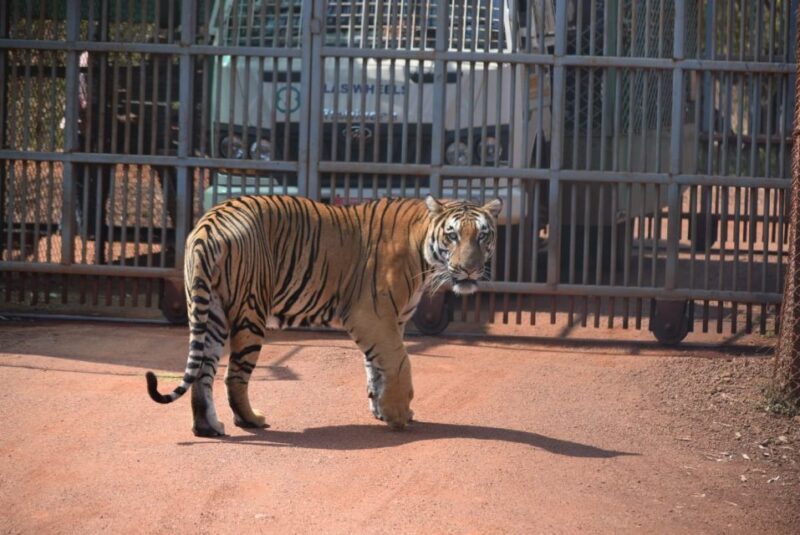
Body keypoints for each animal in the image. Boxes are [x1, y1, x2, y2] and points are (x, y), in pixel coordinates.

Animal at [146, 194, 502, 436]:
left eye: (483, 235)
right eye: (453, 235)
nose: (469, 270)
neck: (423, 250)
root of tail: (209, 223)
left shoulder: (391, 321)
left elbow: (376, 367)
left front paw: (382, 409)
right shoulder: (371, 315)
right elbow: (399, 362)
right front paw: (399, 415)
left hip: (210, 312)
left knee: (202, 373)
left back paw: (207, 427)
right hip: (250, 312)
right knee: (234, 376)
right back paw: (251, 420)